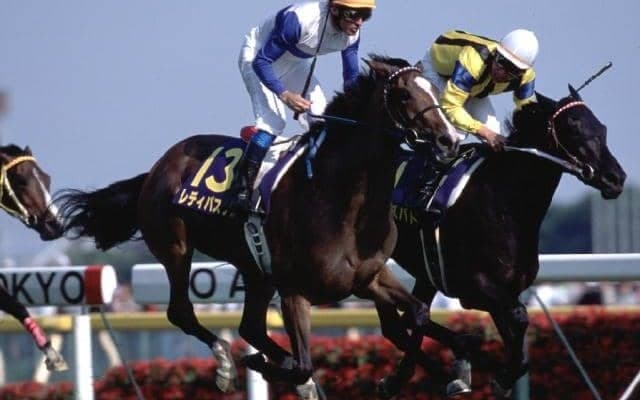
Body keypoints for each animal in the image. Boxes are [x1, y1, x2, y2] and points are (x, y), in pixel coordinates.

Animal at [55, 55, 461, 398]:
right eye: (405, 95)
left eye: (434, 89)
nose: (449, 141)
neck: (340, 198)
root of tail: (156, 169)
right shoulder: (295, 291)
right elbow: (303, 364)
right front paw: (263, 364)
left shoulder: (369, 277)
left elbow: (417, 314)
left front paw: (449, 372)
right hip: (176, 247)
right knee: (182, 312)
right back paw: (225, 363)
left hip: (255, 270)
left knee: (249, 326)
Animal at [378, 86, 626, 398]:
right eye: (573, 126)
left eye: (601, 128)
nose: (616, 178)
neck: (504, 202)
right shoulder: (476, 287)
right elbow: (520, 318)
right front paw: (497, 375)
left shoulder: (504, 290)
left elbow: (518, 341)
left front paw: (498, 372)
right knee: (396, 324)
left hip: (425, 273)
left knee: (410, 318)